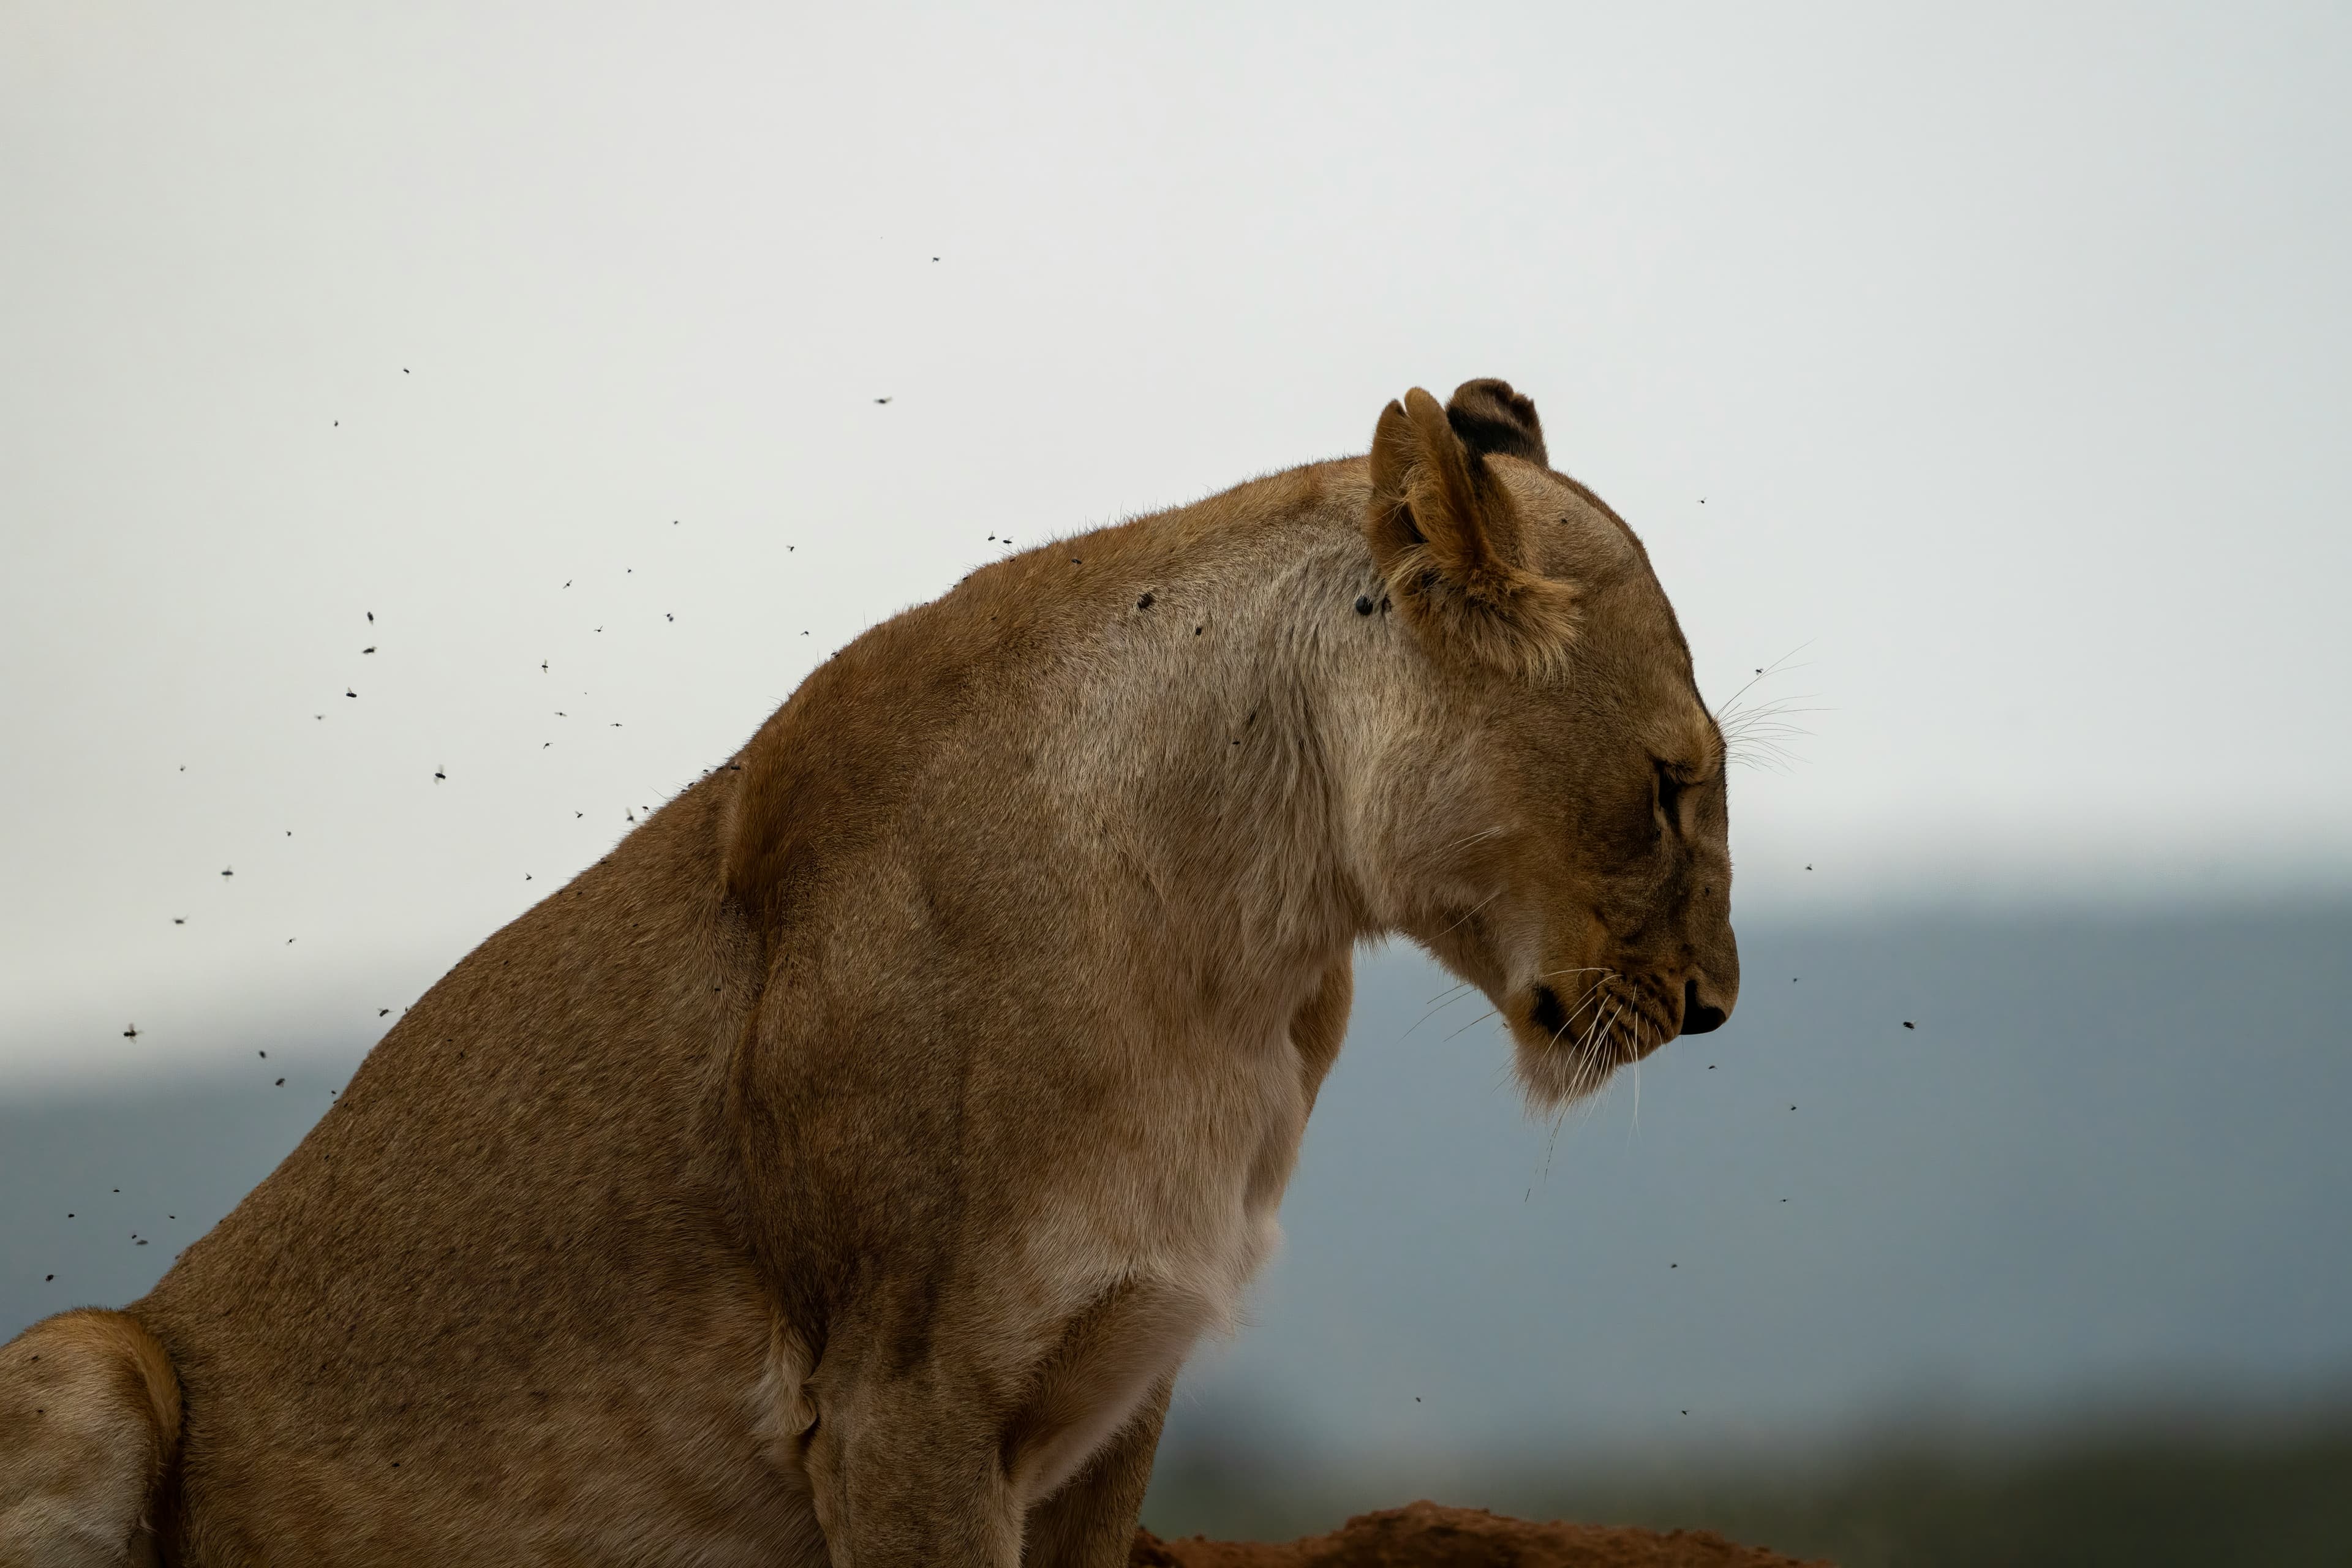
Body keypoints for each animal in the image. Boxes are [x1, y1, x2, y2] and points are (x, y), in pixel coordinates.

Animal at [0, 379, 1737, 1567]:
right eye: (1668, 785)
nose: (1716, 1004)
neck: (1246, 935)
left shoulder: (1120, 1391)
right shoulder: (898, 1391)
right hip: (97, 1353)